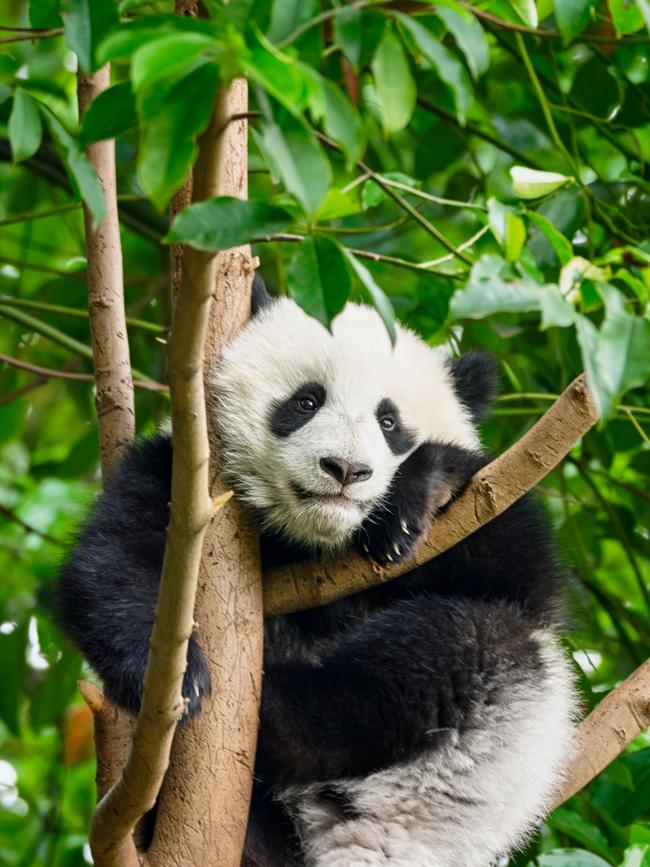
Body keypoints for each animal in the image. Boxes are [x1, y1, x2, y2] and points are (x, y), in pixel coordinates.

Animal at [54, 280, 572, 867]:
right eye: (306, 401)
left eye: (389, 422)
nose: (345, 470)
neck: (314, 540)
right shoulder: (182, 480)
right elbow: (110, 564)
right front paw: (175, 678)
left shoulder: (499, 516)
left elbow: (518, 567)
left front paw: (414, 496)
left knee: (436, 657)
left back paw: (277, 707)